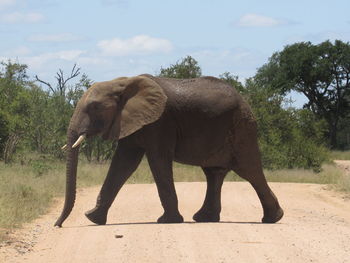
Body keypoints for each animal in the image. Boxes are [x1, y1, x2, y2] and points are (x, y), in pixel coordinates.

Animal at [55, 73, 284, 227]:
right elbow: (123, 163)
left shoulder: (160, 122)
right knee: (214, 173)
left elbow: (157, 160)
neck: (122, 82)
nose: (57, 225)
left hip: (242, 128)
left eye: (94, 107)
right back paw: (204, 219)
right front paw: (92, 217)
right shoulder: (132, 121)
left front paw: (167, 221)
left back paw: (272, 219)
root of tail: (246, 102)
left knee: (249, 170)